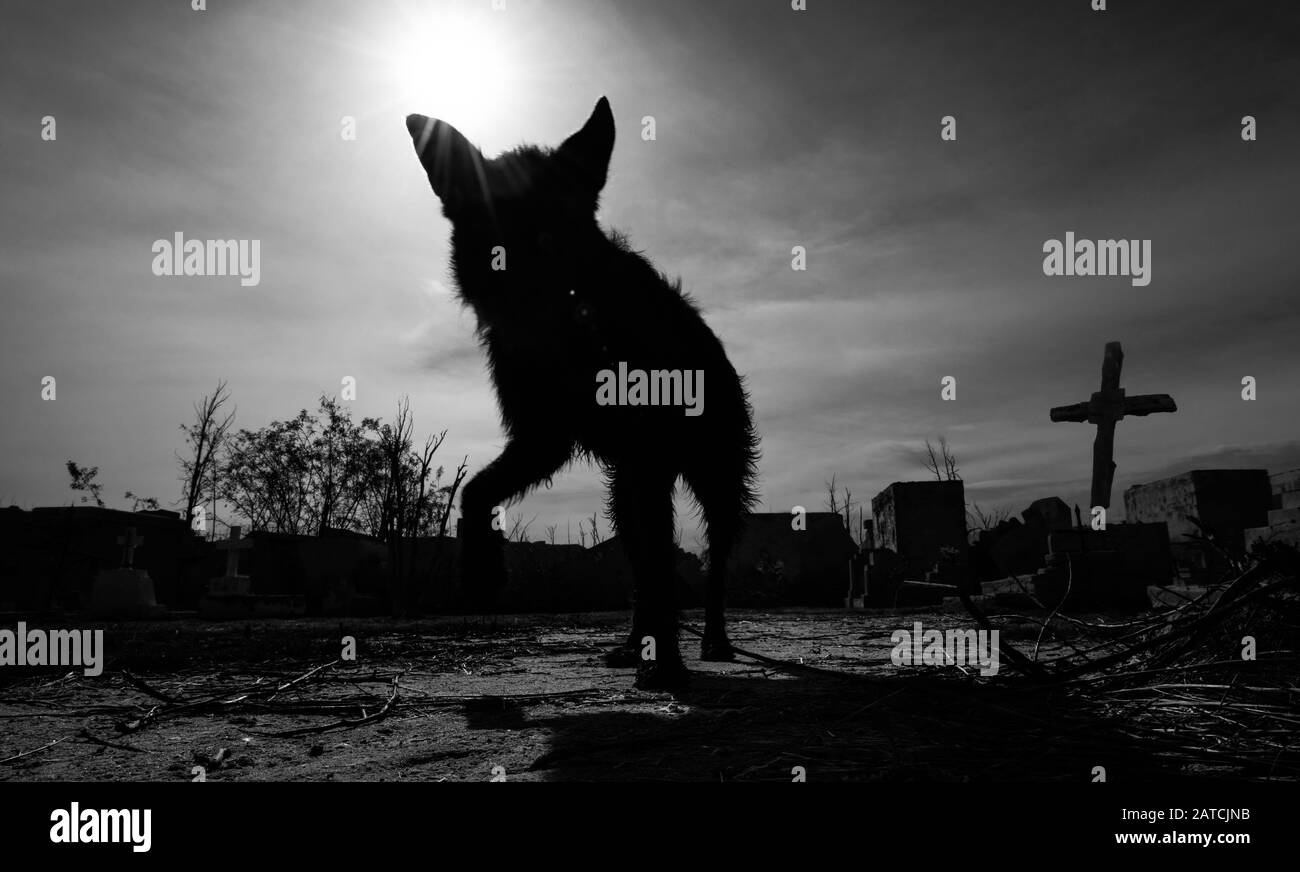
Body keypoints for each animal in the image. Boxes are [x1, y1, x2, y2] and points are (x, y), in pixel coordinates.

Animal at [406, 97, 760, 689]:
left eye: (556, 233)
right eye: (495, 233)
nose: (529, 298)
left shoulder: (637, 450)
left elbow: (667, 566)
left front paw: (668, 660)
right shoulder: (542, 438)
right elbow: (475, 490)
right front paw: (480, 569)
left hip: (714, 481)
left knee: (705, 562)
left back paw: (711, 640)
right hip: (627, 492)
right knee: (641, 563)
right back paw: (635, 643)